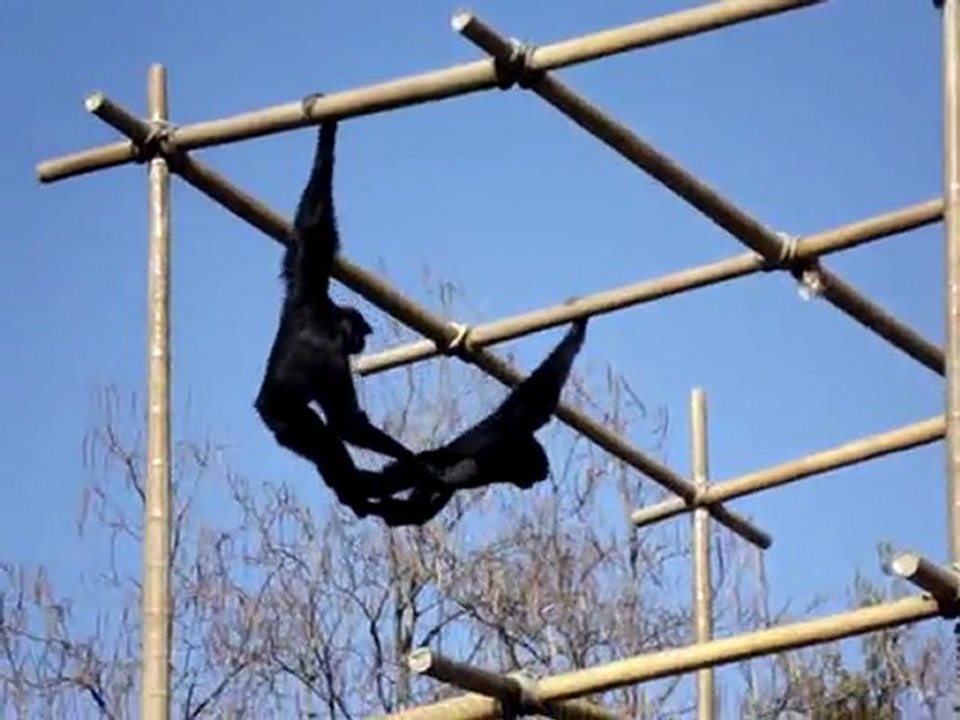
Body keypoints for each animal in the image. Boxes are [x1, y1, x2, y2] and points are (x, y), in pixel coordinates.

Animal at [255, 104, 445, 509]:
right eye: (360, 334)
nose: (363, 339)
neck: (327, 320)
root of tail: (264, 407)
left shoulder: (306, 293)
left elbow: (310, 233)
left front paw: (327, 130)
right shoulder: (332, 358)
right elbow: (347, 422)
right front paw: (413, 462)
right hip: (291, 421)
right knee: (325, 439)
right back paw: (357, 488)